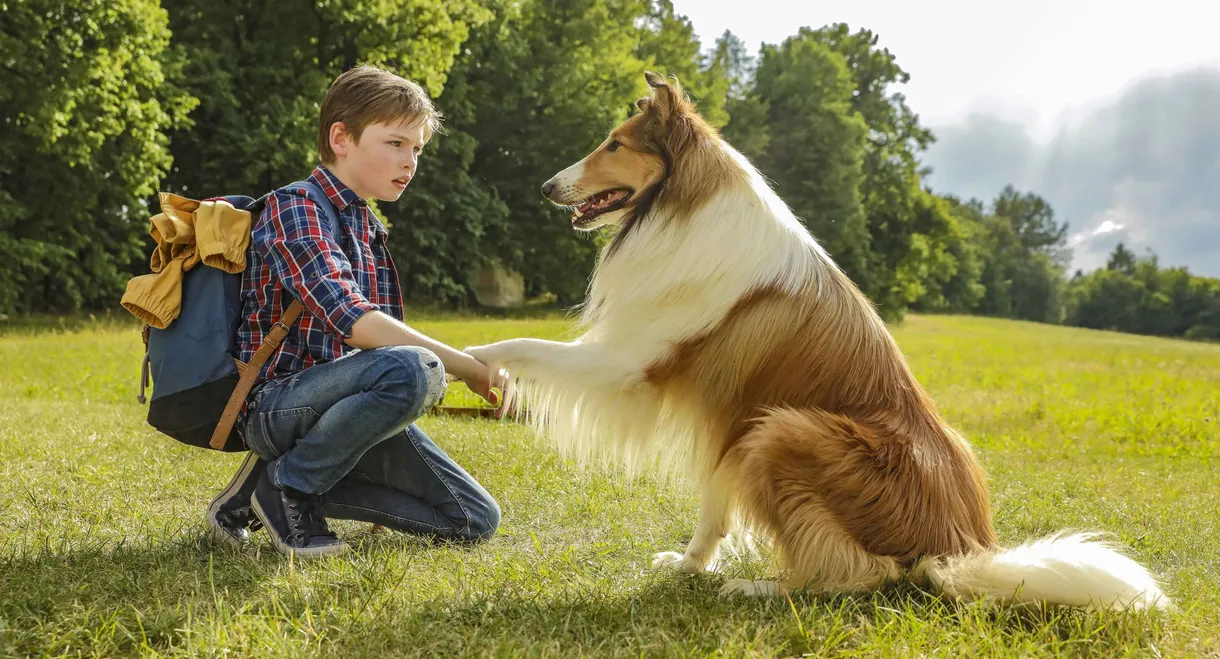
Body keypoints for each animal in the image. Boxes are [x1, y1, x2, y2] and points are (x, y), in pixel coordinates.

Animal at [461, 70, 1166, 607]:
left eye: (613, 144)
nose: (545, 187)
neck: (683, 209)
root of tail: (960, 549)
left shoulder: (631, 364)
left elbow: (524, 347)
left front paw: (469, 359)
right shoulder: (728, 422)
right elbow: (713, 510)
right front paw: (689, 567)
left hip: (783, 431)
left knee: (861, 575)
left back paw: (759, 589)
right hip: (774, 433)